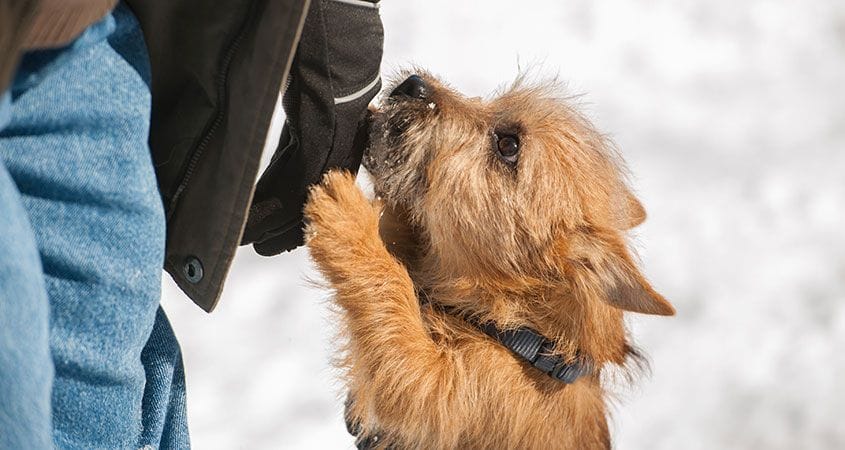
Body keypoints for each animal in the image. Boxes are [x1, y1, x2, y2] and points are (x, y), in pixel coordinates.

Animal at [304, 71, 672, 450]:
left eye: (508, 145)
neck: (519, 331)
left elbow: (395, 317)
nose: (413, 84)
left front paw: (351, 221)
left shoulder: (442, 388)